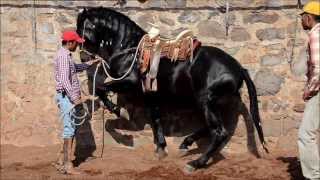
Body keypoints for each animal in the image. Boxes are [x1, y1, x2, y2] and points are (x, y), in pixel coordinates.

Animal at [75, 6, 268, 170]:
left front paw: (118, 112)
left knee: (220, 132)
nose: (83, 57)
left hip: (206, 101)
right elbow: (155, 119)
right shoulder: (150, 95)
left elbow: (101, 90)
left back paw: (195, 163)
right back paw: (186, 144)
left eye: (81, 29)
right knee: (212, 128)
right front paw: (161, 148)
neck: (130, 49)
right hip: (212, 103)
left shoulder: (130, 82)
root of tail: (239, 68)